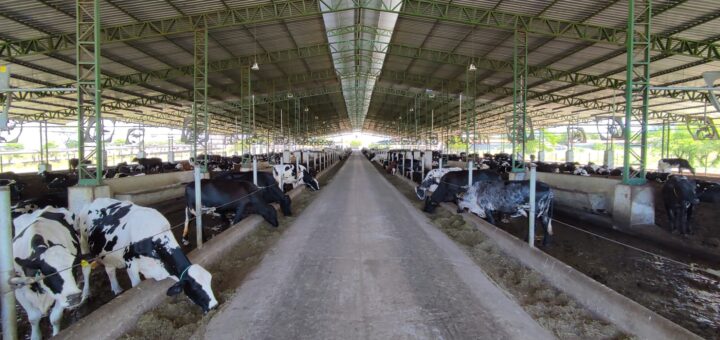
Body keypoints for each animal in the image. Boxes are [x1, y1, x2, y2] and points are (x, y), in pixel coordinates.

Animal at [12, 207, 90, 340]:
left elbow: (55, 318)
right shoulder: (18, 290)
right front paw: (35, 336)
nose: (74, 297)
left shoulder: (62, 294)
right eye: (50, 272)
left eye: (73, 268)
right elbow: (33, 318)